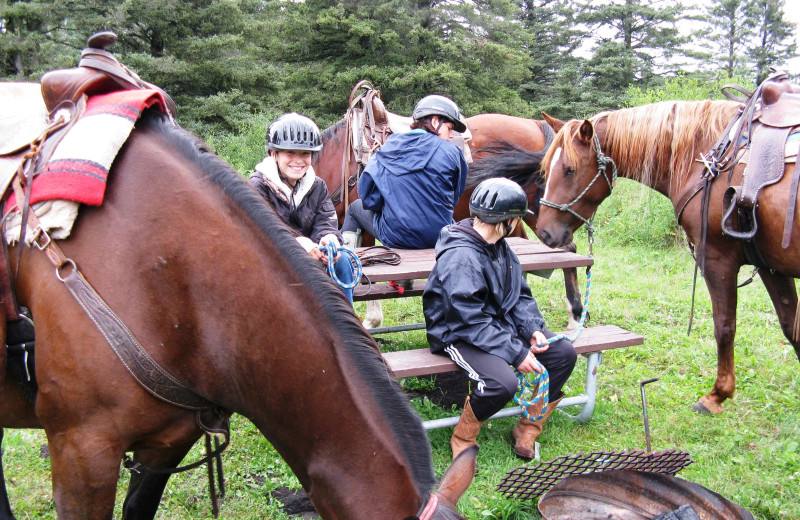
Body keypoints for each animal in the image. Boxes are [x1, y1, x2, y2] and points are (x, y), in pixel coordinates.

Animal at [532, 98, 800, 414]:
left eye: (569, 169)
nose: (545, 232)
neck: (706, 156)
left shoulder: (717, 259)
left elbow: (724, 327)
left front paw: (716, 395)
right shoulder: (771, 267)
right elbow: (791, 326)